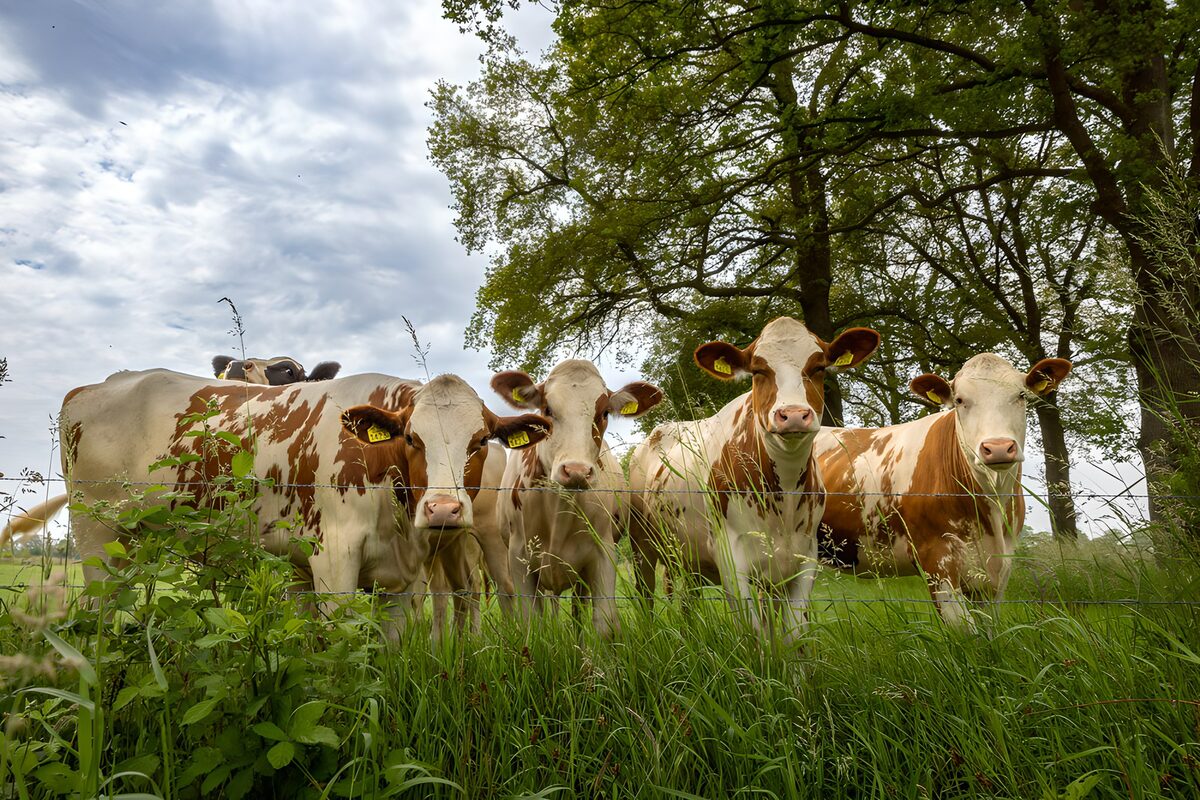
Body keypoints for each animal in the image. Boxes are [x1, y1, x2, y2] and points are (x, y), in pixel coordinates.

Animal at [57, 369, 549, 638]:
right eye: (412, 438)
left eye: (481, 440)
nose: (443, 510)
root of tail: (89, 388)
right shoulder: (333, 561)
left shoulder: (400, 580)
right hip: (97, 539)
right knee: (94, 616)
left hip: (133, 544)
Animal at [490, 360, 664, 638]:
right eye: (547, 409)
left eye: (604, 413)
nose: (576, 470)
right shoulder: (519, 558)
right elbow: (532, 623)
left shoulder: (603, 554)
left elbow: (603, 622)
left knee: (578, 610)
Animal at [628, 317, 880, 643]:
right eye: (759, 370)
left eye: (818, 367)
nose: (793, 415)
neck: (784, 494)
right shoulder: (731, 560)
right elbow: (756, 635)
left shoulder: (803, 559)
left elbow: (792, 634)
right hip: (642, 543)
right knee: (645, 593)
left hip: (688, 555)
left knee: (688, 598)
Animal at [815, 353, 1072, 626]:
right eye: (959, 400)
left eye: (1021, 395)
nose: (998, 447)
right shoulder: (937, 560)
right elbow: (964, 629)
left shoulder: (999, 570)